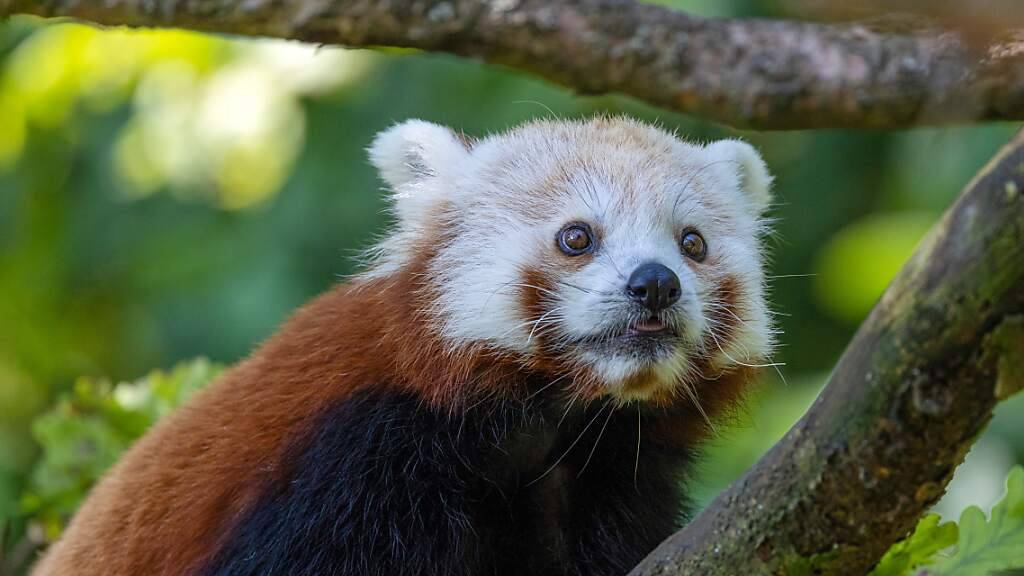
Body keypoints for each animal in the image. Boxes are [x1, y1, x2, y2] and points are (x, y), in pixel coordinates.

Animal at [34, 116, 774, 573]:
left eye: (692, 243)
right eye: (577, 237)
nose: (656, 285)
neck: (548, 420)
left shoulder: (616, 477)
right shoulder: (348, 462)